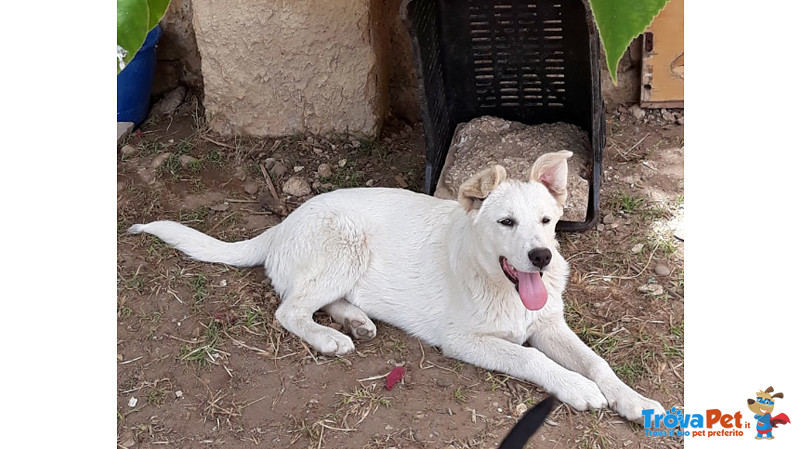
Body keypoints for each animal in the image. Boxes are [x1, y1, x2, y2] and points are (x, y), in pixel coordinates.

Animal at [131, 150, 664, 420]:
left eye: (548, 222)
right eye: (506, 222)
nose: (541, 257)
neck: (501, 285)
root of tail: (281, 225)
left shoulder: (550, 324)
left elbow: (598, 362)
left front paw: (634, 400)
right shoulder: (465, 340)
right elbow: (531, 358)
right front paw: (575, 389)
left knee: (313, 300)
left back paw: (356, 321)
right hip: (346, 244)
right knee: (289, 309)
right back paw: (330, 337)